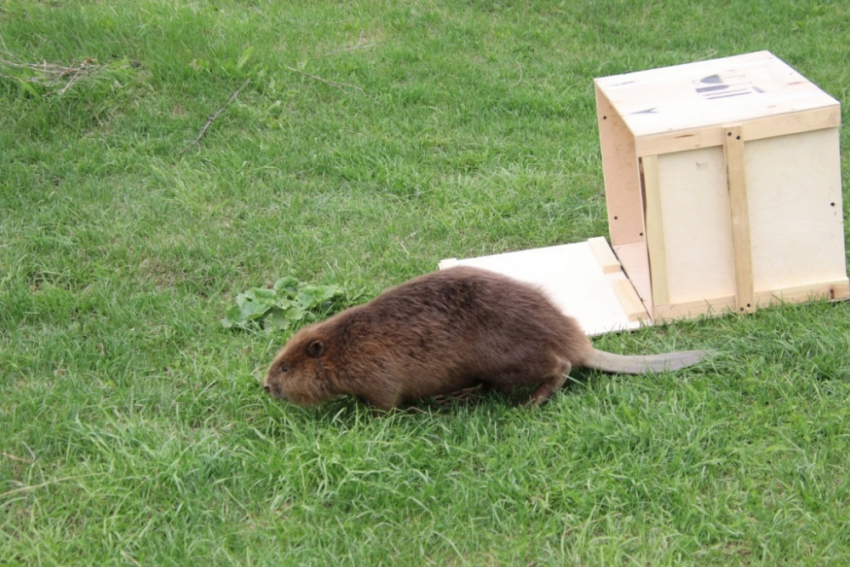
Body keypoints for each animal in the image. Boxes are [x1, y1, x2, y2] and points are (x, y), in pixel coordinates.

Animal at [260, 268, 708, 410]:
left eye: (285, 366)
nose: (265, 386)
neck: (347, 343)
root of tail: (578, 342)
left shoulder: (379, 372)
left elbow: (385, 403)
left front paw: (363, 417)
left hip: (503, 356)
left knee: (559, 366)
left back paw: (530, 402)